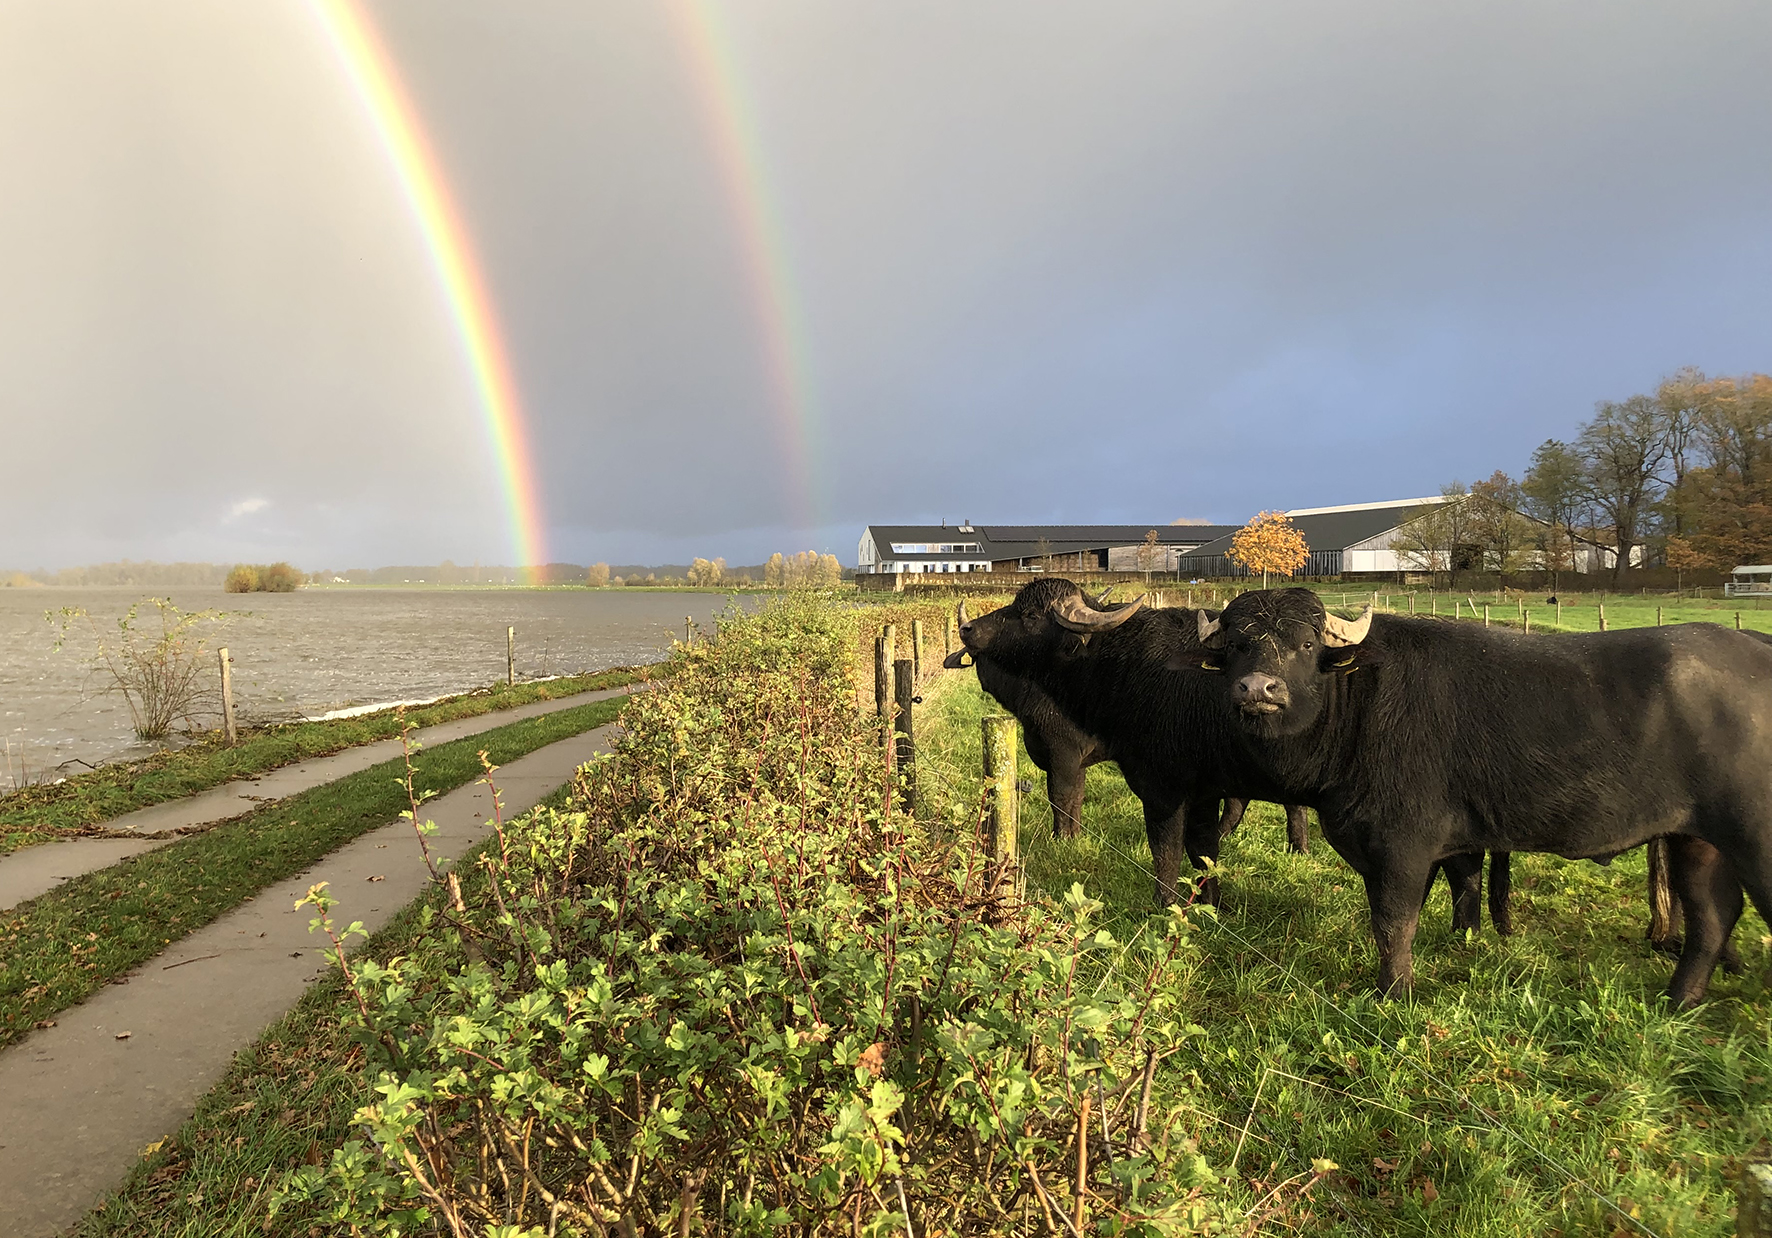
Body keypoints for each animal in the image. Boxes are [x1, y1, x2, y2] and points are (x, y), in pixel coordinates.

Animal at [956, 577, 1495, 913]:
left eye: (1028, 615)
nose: (968, 628)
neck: (1119, 664)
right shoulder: (1202, 789)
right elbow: (1203, 850)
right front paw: (1208, 902)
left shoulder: (1156, 785)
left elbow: (1161, 847)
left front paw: (1163, 905)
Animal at [1197, 588, 1772, 1005]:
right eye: (1239, 645)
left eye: (1305, 645)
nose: (1259, 689)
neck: (1359, 703)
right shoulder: (1454, 841)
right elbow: (1461, 888)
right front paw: (1460, 945)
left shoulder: (1402, 846)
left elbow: (1393, 922)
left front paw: (1393, 992)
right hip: (1695, 840)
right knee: (1712, 917)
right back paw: (1679, 1000)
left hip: (1752, 839)